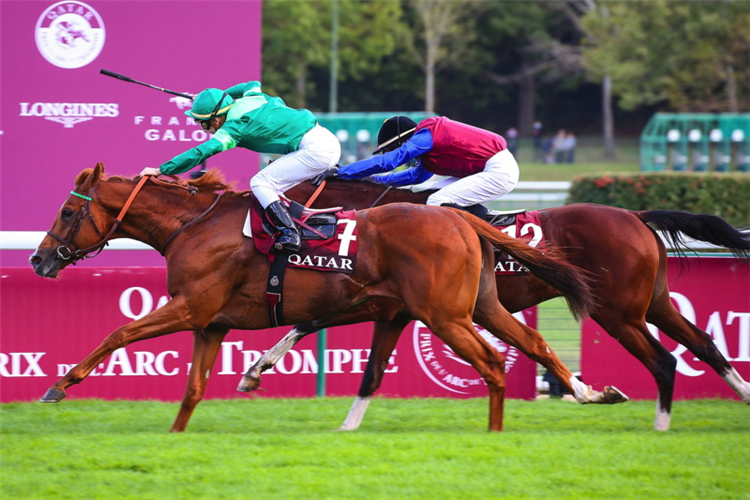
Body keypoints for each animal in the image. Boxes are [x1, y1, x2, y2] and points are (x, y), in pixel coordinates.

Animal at [29, 163, 624, 430]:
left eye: (67, 210)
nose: (38, 260)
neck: (192, 226)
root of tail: (459, 218)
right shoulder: (212, 322)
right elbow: (194, 389)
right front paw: (178, 436)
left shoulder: (192, 307)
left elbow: (119, 331)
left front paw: (58, 386)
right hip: (480, 306)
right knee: (530, 343)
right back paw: (590, 392)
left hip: (445, 315)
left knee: (494, 363)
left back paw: (496, 432)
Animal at [270, 178, 750, 432]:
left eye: (295, 189)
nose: (291, 226)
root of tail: (636, 216)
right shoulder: (393, 306)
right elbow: (315, 327)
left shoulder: (388, 304)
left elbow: (312, 321)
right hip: (655, 304)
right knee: (704, 344)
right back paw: (741, 396)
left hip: (618, 313)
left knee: (665, 360)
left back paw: (660, 425)